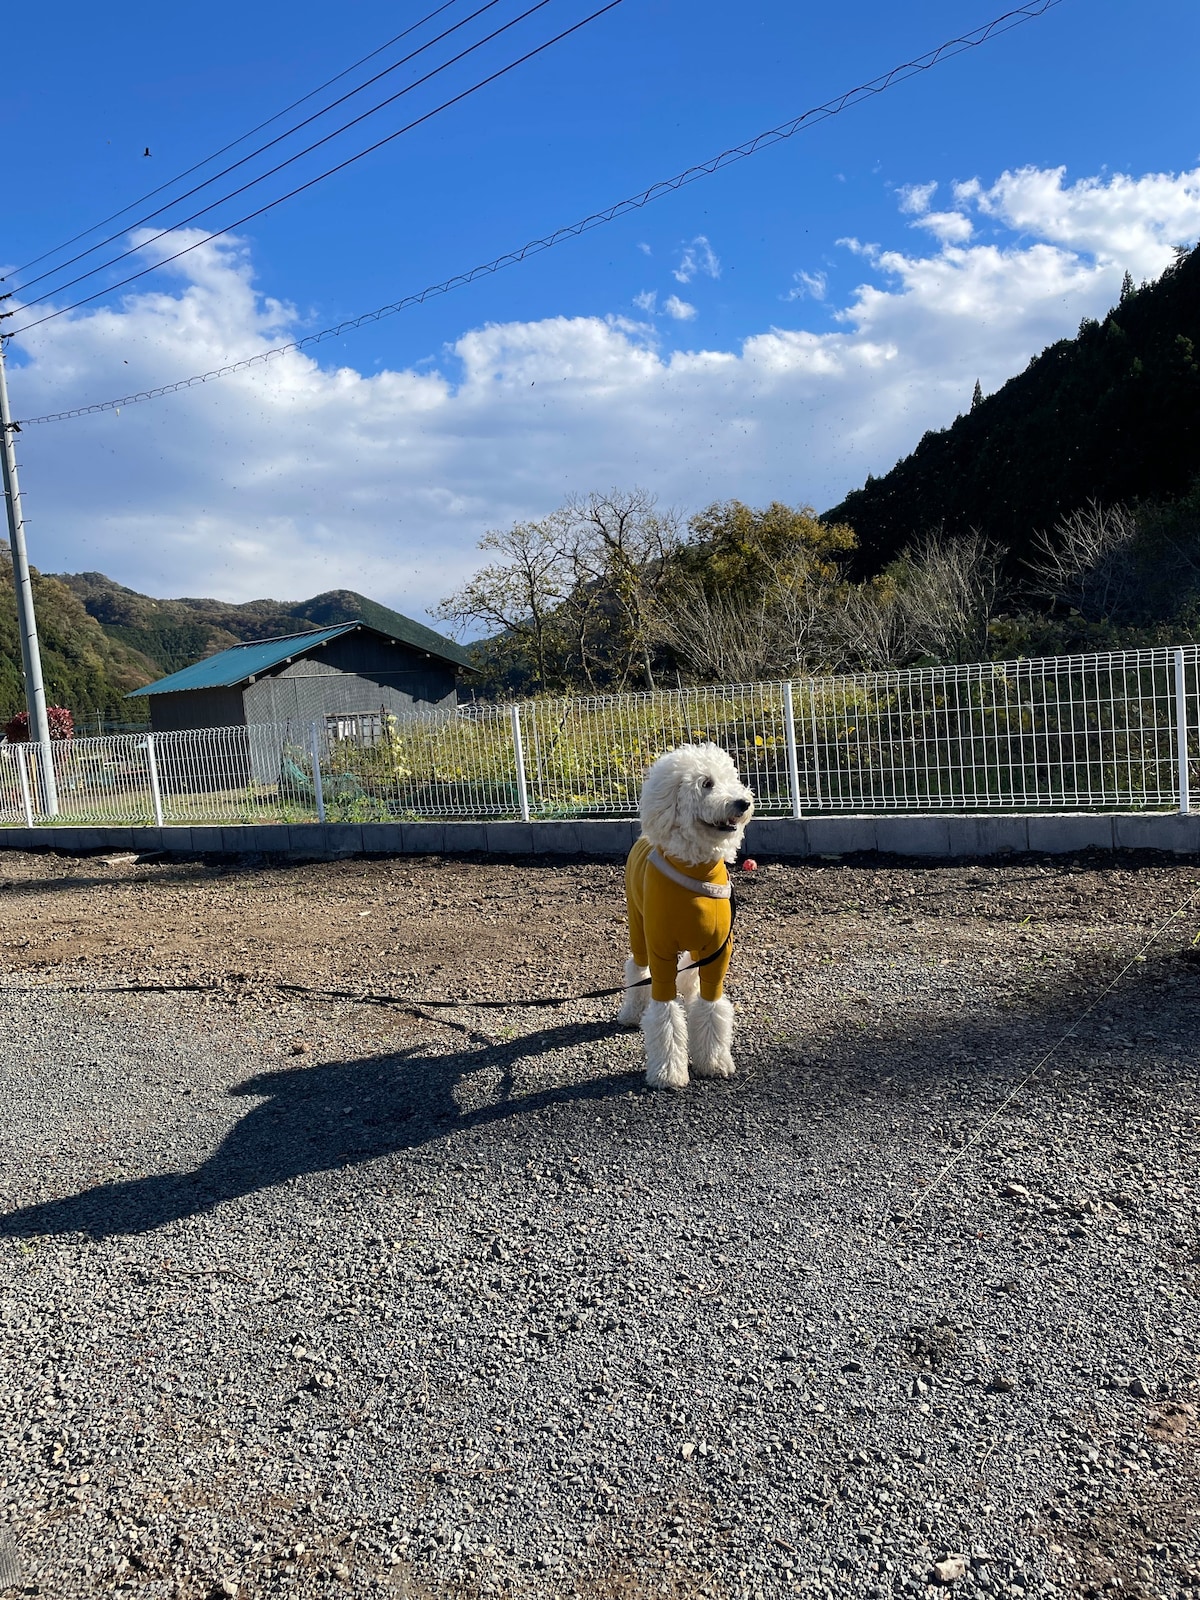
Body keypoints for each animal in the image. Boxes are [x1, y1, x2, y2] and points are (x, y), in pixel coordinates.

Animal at [620, 745, 752, 1094]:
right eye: (706, 784)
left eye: (732, 780)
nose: (743, 803)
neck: (696, 867)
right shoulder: (661, 950)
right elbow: (665, 1013)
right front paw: (668, 1073)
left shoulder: (718, 951)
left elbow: (711, 1005)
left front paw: (714, 1061)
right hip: (638, 927)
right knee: (637, 967)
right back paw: (631, 1012)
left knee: (690, 973)